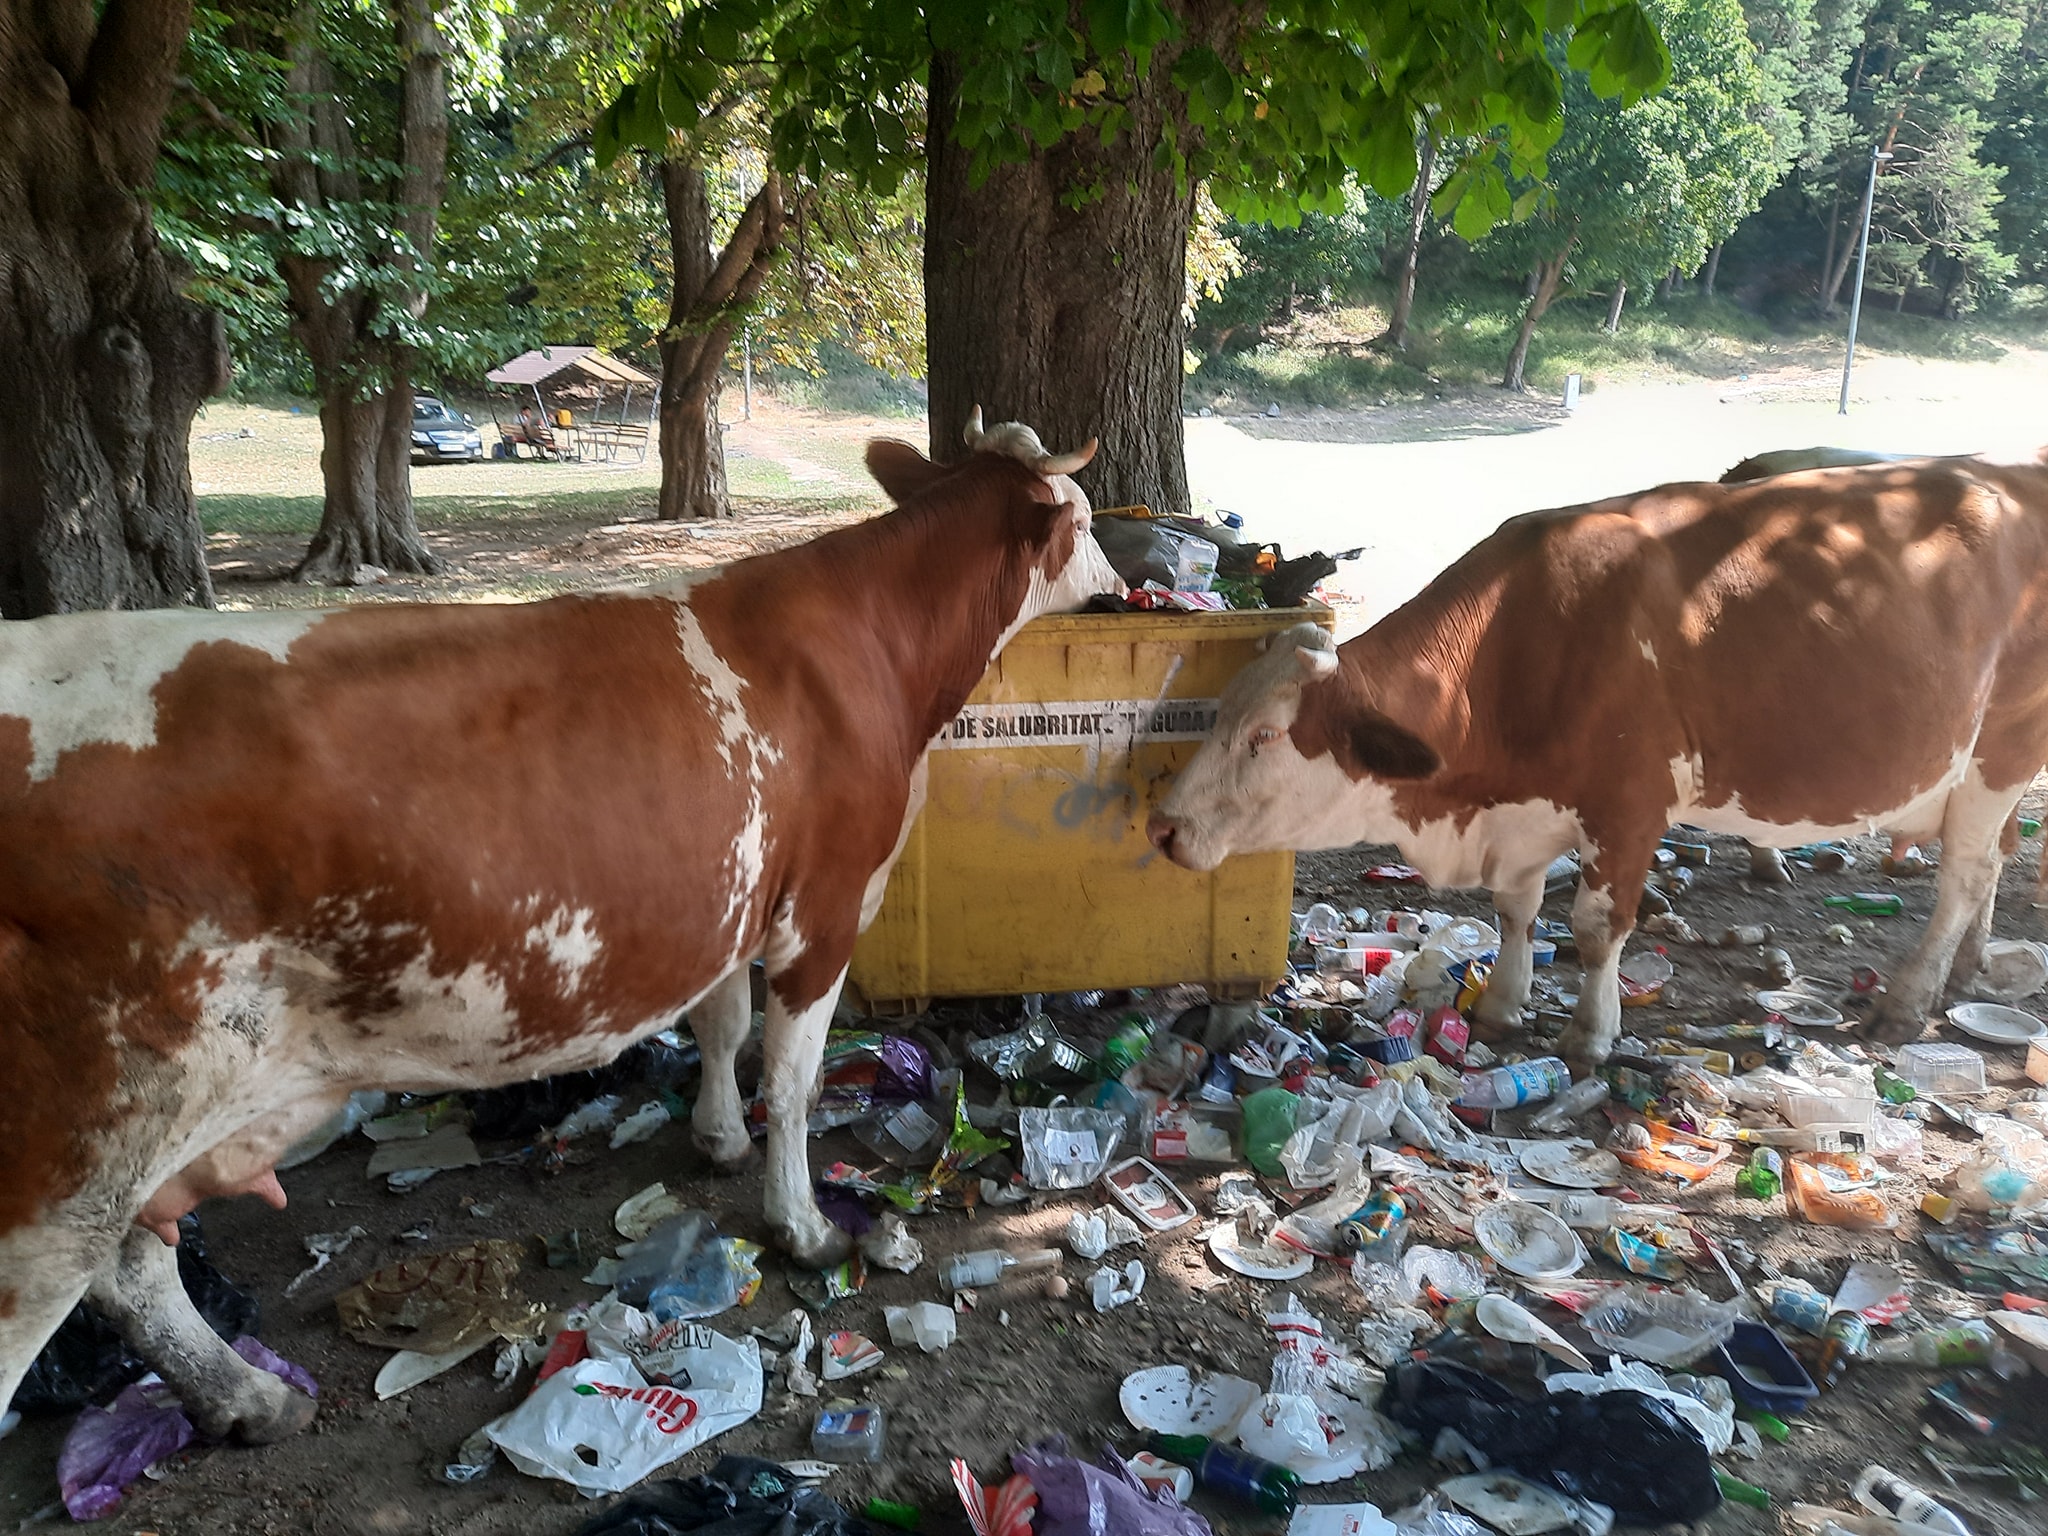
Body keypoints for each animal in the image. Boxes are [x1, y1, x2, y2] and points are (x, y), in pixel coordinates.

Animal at [0, 415, 1122, 1441]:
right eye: (1081, 518)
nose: (1118, 590)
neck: (879, 650)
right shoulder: (827, 903)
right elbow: (794, 1078)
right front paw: (799, 1224)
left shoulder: (727, 891)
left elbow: (721, 1026)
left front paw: (716, 1137)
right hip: (86, 1124)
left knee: (134, 1264)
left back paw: (248, 1397)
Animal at [1146, 448, 2048, 1073]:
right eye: (1218, 714)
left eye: (1264, 736)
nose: (1161, 828)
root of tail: (2012, 468)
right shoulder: (1524, 811)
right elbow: (1515, 908)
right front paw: (1503, 1005)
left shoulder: (1629, 804)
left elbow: (1593, 924)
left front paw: (1589, 1032)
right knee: (1997, 857)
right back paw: (1967, 971)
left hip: (2002, 746)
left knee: (1965, 873)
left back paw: (1910, 999)